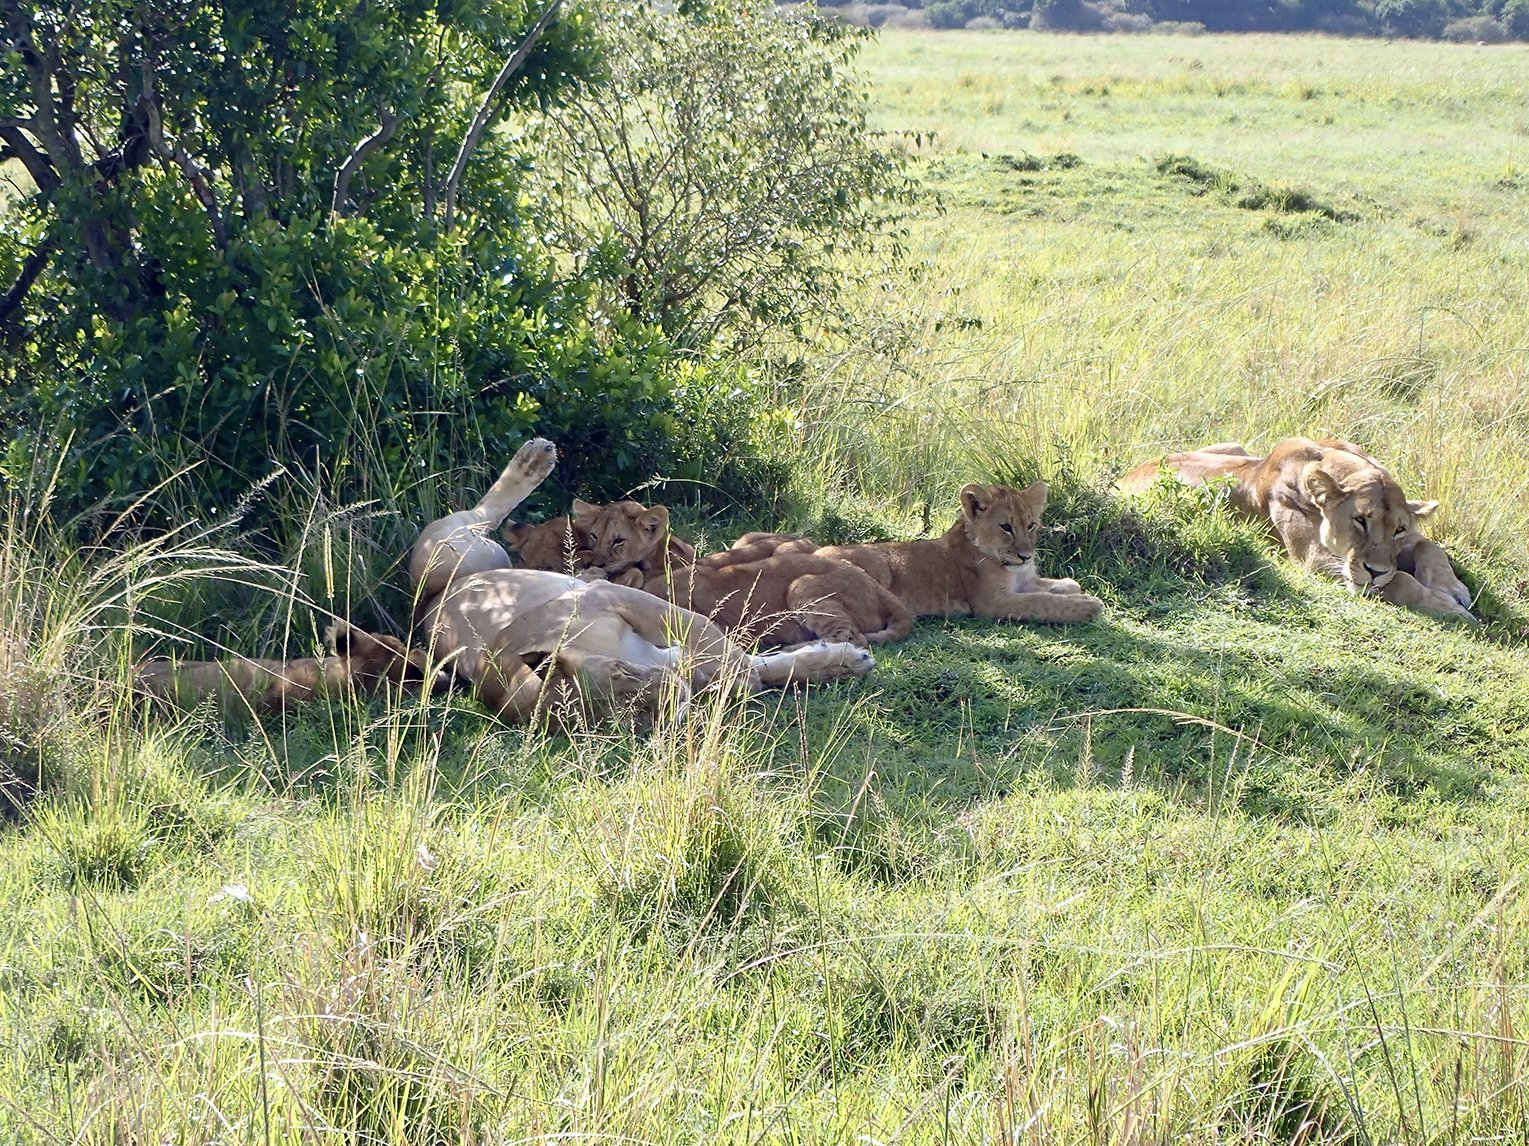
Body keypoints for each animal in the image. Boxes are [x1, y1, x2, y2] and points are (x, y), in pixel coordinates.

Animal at [1119, 433, 1473, 623]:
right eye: (1360, 520)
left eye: (1398, 529)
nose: (1375, 570)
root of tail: (1125, 476)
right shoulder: (1315, 560)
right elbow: (1398, 580)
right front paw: (1450, 608)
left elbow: (1431, 546)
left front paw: (1455, 589)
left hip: (1234, 447)